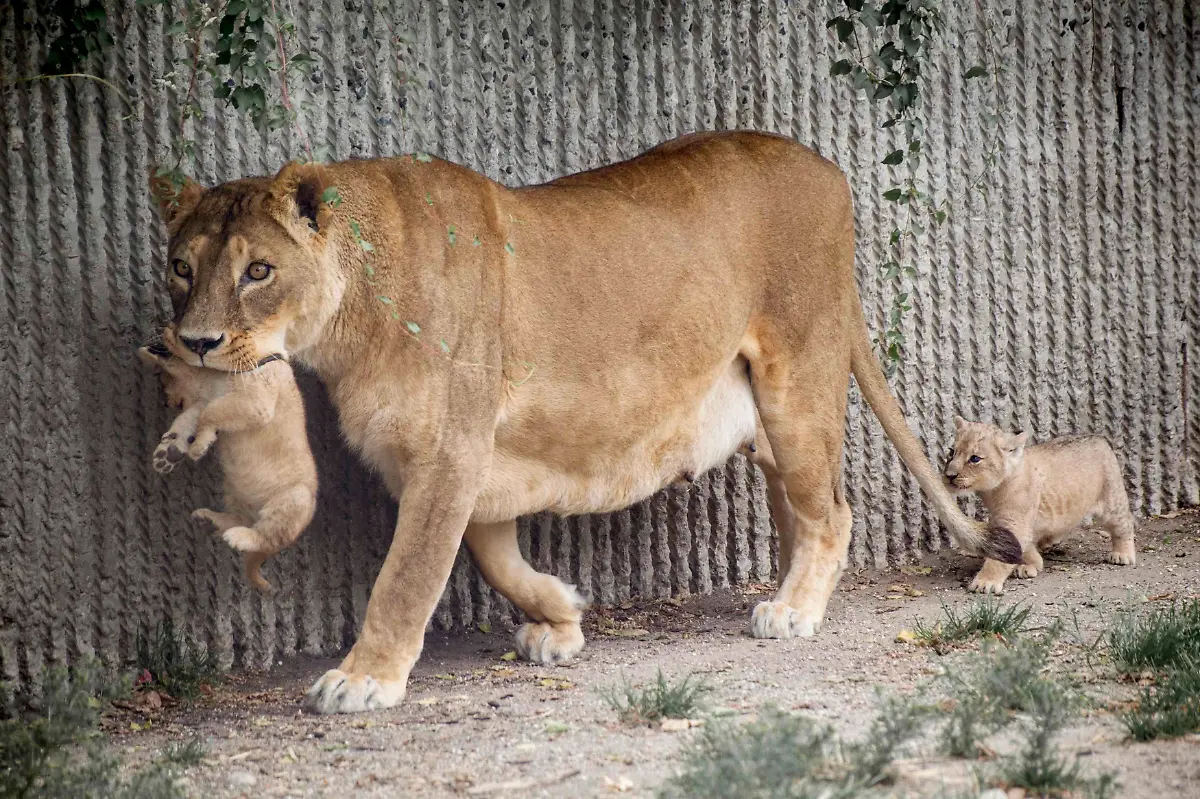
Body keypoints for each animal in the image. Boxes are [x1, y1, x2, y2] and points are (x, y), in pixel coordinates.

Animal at [137, 327, 318, 595]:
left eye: (167, 389)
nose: (167, 402)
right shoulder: (208, 399)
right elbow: (192, 418)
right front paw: (170, 452)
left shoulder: (255, 402)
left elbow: (208, 413)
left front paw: (197, 447)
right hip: (234, 491)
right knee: (240, 518)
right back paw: (208, 521)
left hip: (295, 499)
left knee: (267, 537)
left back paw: (239, 537)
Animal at [944, 417, 1136, 594]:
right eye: (952, 452)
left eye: (975, 458)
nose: (949, 475)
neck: (992, 491)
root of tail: (1099, 437)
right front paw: (1032, 564)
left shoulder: (1016, 522)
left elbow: (1001, 557)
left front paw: (986, 582)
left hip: (1112, 501)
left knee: (1124, 523)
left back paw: (1123, 554)